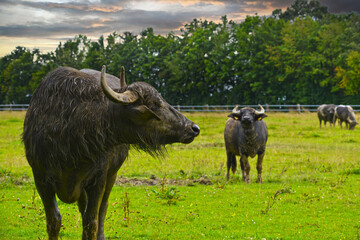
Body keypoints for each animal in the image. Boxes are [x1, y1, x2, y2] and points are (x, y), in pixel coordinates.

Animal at [22, 65, 200, 240]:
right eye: (155, 103)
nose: (194, 128)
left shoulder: (99, 179)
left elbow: (91, 222)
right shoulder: (41, 180)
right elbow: (54, 222)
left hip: (111, 175)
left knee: (102, 208)